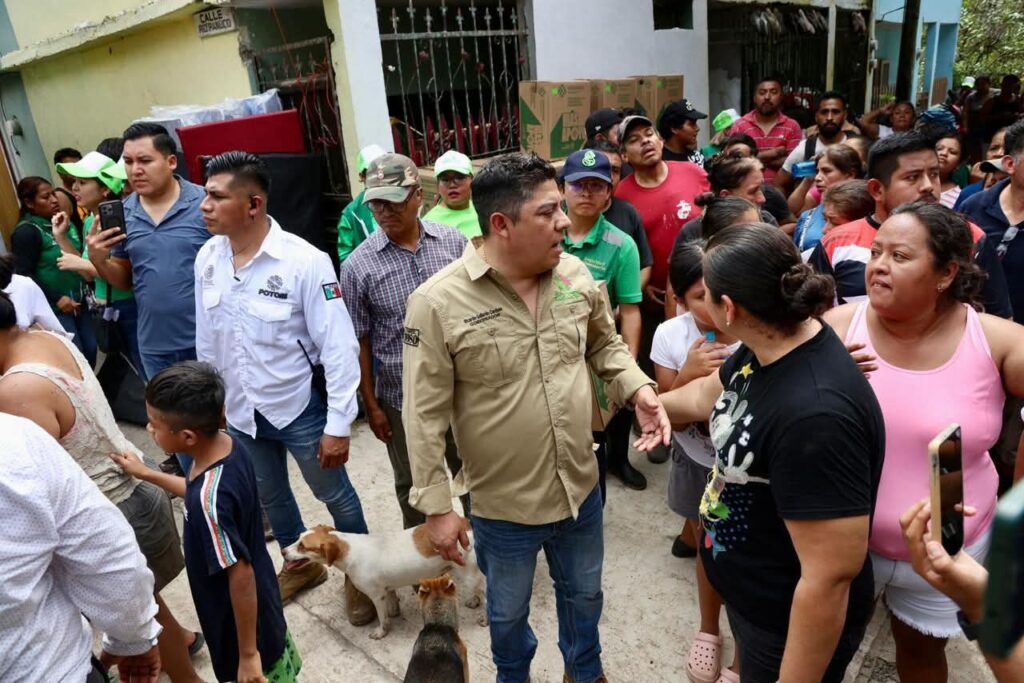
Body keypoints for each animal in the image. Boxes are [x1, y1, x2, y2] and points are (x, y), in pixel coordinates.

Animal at [283, 518, 487, 639]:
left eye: (302, 546)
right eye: (298, 538)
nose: (283, 551)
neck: (348, 549)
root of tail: (466, 523)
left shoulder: (376, 596)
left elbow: (382, 617)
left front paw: (382, 631)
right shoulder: (387, 590)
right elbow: (392, 605)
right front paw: (394, 613)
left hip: (468, 574)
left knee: (486, 596)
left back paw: (485, 618)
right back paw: (474, 601)